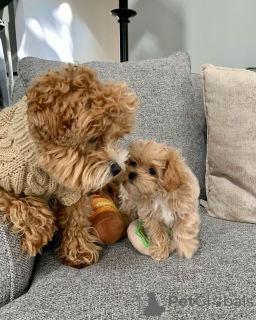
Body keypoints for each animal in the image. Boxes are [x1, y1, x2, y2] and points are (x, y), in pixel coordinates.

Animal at [0, 62, 138, 268]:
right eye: (93, 138)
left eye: (113, 137)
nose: (117, 168)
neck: (40, 164)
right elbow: (18, 201)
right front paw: (39, 228)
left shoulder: (71, 187)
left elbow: (76, 217)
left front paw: (78, 251)